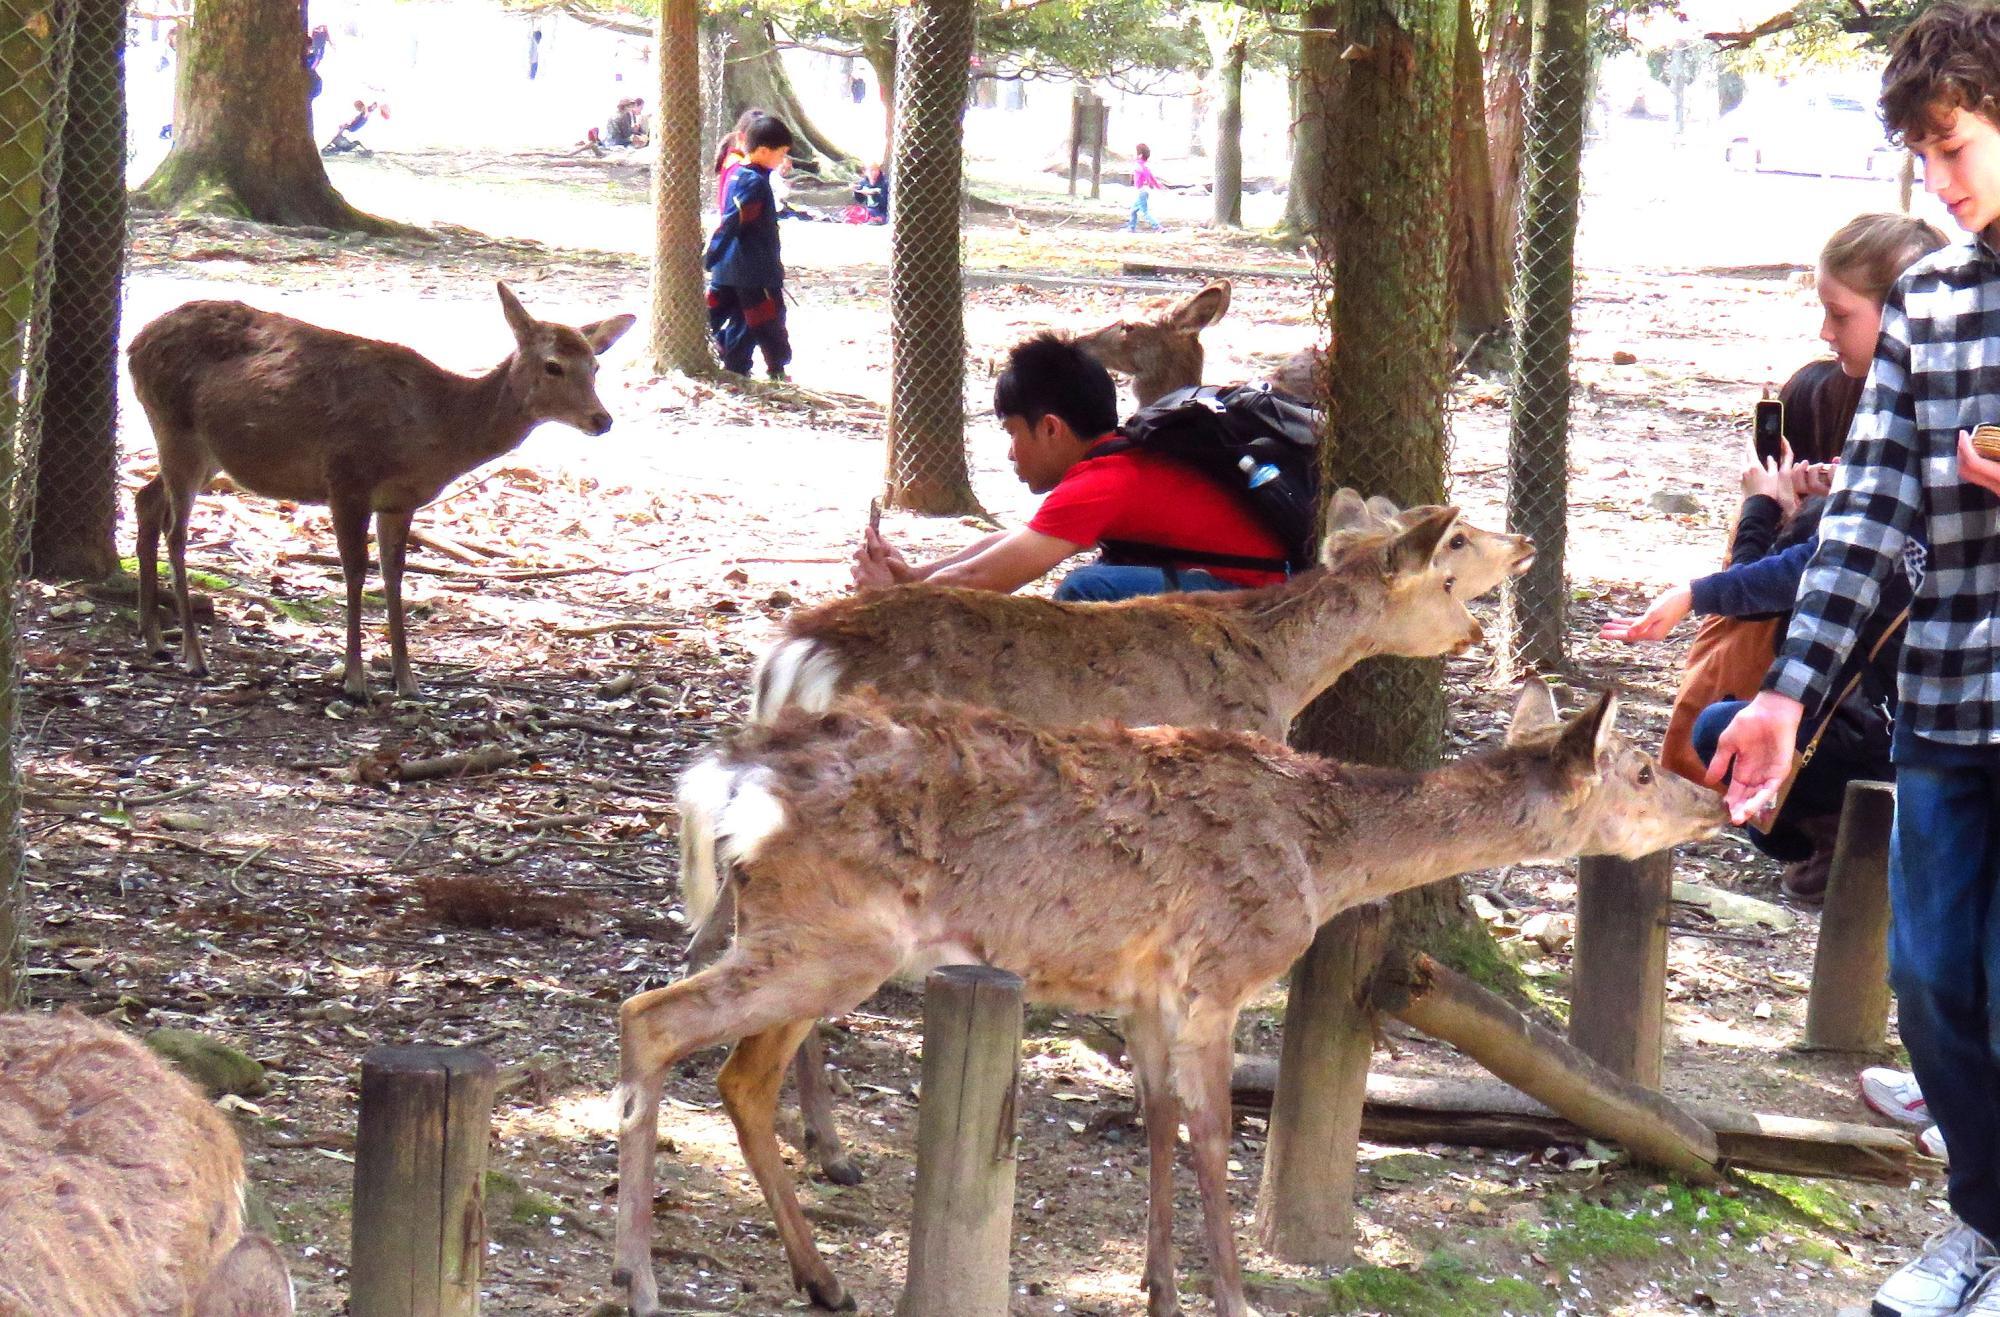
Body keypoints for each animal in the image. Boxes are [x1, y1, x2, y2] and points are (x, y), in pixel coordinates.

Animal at [125, 284, 636, 704]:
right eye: (554, 366)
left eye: (596, 365)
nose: (603, 419)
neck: (438, 427)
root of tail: (134, 342)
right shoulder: (347, 475)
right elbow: (355, 569)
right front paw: (355, 681)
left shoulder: (398, 499)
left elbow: (394, 574)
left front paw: (406, 680)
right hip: (175, 427)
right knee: (176, 530)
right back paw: (193, 655)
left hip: (205, 451)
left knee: (146, 500)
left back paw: (154, 638)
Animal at [616, 676, 1728, 1312]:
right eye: (1640, 768)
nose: (1714, 796)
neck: (1322, 859)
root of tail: (723, 780)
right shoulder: (1223, 969)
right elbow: (1211, 1129)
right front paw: (1230, 1296)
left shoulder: (1142, 986)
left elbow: (1153, 1118)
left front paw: (1158, 1288)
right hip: (828, 936)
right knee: (649, 1018)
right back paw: (641, 1279)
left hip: (819, 942)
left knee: (740, 1076)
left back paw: (823, 1279)